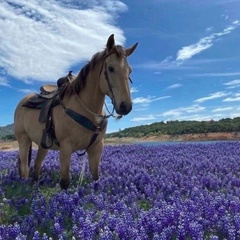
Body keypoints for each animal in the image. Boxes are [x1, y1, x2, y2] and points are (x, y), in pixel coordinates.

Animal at [14, 34, 139, 189]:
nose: (125, 106)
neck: (87, 110)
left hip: (43, 144)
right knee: (25, 168)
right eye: (110, 68)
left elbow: (95, 177)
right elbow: (65, 182)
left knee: (37, 165)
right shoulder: (66, 148)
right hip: (23, 139)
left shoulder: (97, 147)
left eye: (129, 71)